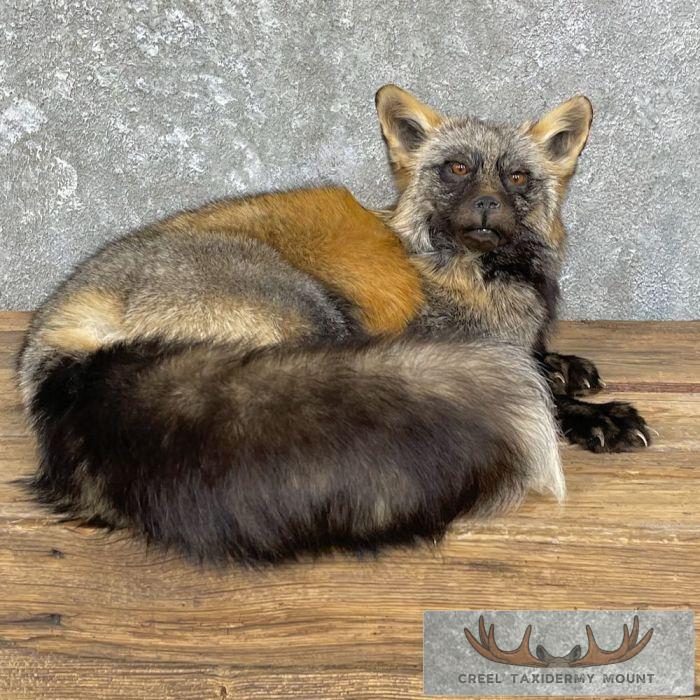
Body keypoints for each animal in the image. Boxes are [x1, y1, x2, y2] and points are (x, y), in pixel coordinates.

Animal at [17, 86, 650, 564]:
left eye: (517, 178)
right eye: (458, 169)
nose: (488, 206)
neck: (479, 279)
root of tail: (60, 324)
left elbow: (541, 362)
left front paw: (568, 367)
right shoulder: (448, 336)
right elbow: (538, 387)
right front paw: (597, 417)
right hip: (316, 315)